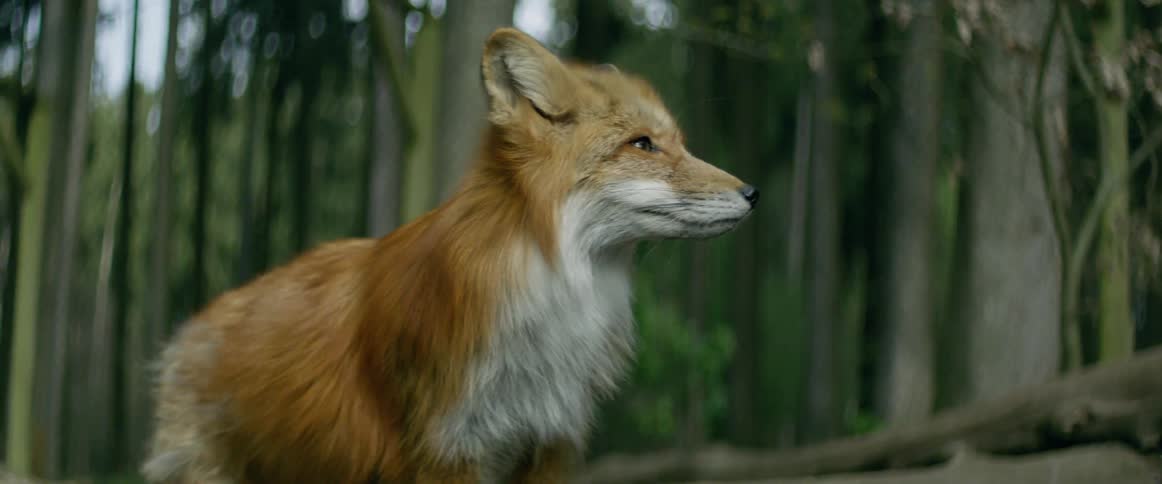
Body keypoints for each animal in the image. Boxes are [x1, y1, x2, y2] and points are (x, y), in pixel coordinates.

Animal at [141, 27, 758, 483]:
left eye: (677, 142)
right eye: (642, 145)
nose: (752, 193)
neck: (552, 293)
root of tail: (189, 329)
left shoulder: (549, 443)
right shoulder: (448, 450)